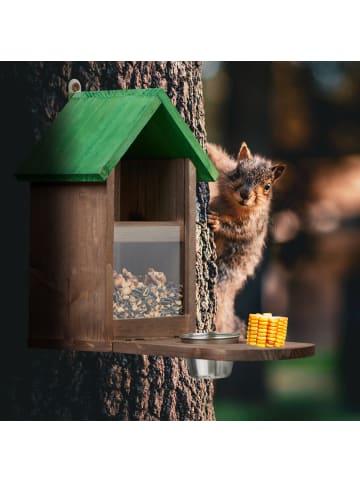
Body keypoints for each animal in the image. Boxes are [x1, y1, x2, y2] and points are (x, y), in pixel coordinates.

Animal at [207, 141, 286, 334]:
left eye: (267, 186)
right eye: (237, 173)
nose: (245, 194)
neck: (234, 206)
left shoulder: (253, 223)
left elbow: (238, 230)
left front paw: (218, 222)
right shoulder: (224, 169)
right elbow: (220, 158)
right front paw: (207, 147)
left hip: (227, 269)